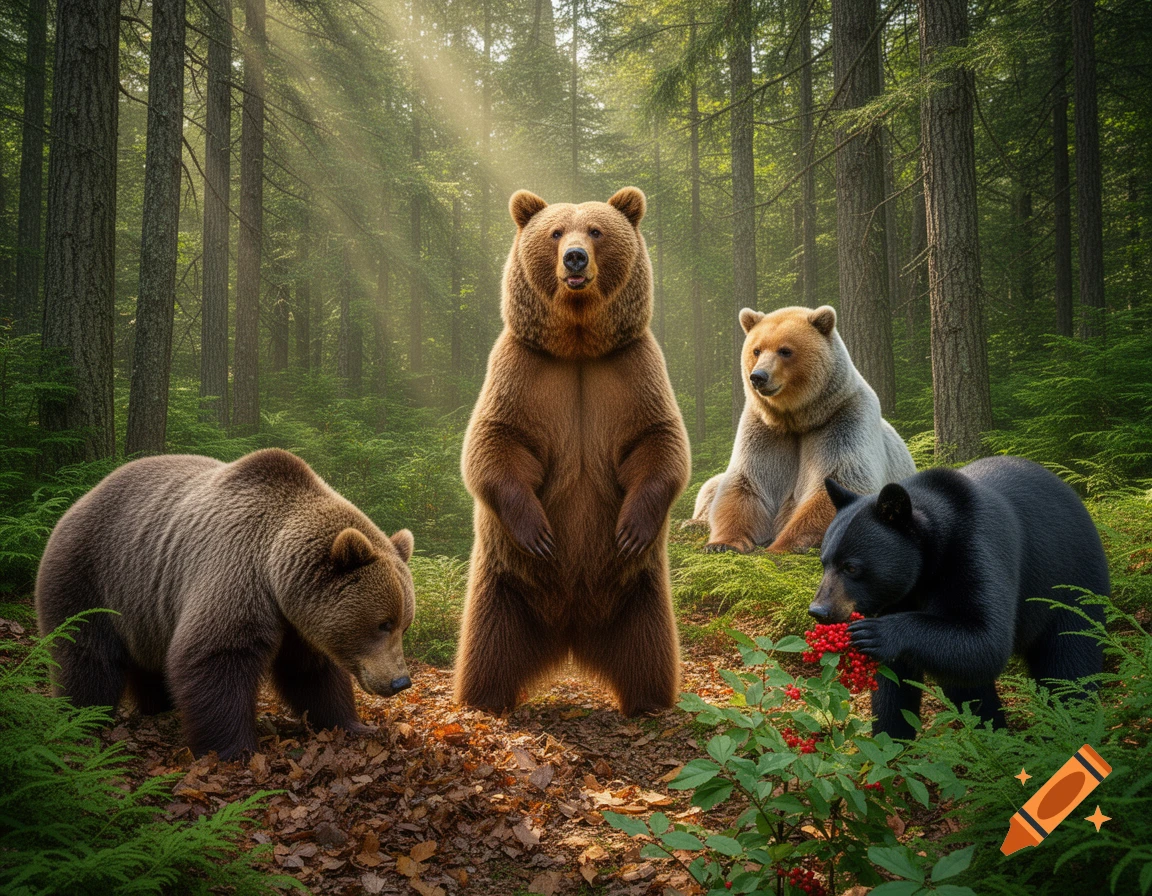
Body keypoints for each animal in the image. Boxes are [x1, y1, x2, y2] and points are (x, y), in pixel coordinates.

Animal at [35, 448, 416, 760]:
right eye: (383, 623)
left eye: (403, 625)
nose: (400, 682)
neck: (275, 573)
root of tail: (77, 501)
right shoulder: (235, 572)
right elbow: (216, 657)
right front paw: (234, 749)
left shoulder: (298, 620)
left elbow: (312, 672)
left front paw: (354, 725)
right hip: (90, 576)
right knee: (87, 654)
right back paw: (84, 717)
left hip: (145, 608)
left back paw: (158, 706)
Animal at [453, 186, 691, 717]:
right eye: (556, 232)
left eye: (597, 231)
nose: (575, 257)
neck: (578, 347)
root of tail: (571, 631)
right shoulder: (521, 369)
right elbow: (493, 442)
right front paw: (540, 532)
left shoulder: (633, 369)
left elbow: (659, 441)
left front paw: (631, 529)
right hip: (504, 587)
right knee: (489, 645)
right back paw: (484, 699)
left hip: (640, 595)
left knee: (649, 649)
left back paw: (650, 702)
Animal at [687, 304, 915, 554]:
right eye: (756, 350)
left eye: (785, 351)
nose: (758, 377)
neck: (797, 419)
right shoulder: (765, 431)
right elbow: (746, 483)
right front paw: (721, 543)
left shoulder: (843, 421)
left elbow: (839, 481)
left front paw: (781, 545)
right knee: (710, 486)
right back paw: (692, 522)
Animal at [810, 455, 1109, 740]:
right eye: (824, 562)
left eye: (851, 567)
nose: (819, 610)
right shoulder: (898, 594)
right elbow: (894, 681)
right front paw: (891, 738)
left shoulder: (976, 550)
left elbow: (985, 638)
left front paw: (875, 632)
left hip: (1071, 582)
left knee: (1070, 662)